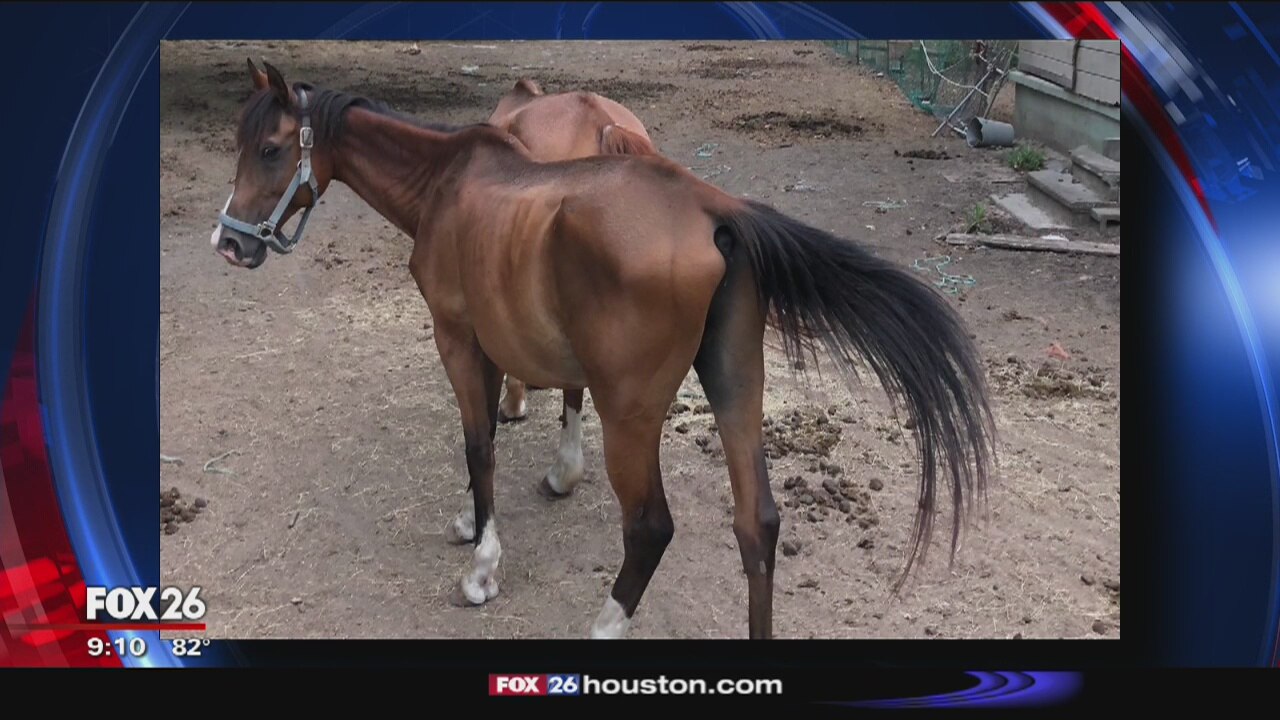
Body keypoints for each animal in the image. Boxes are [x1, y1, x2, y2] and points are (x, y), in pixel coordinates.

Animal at [211, 61, 997, 639]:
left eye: (271, 149)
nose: (228, 243)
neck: (448, 181)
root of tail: (715, 212)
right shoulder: (487, 343)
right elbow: (487, 435)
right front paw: (474, 520)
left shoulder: (457, 337)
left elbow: (479, 443)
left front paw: (483, 565)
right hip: (737, 387)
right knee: (758, 525)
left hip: (631, 416)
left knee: (650, 527)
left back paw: (604, 626)